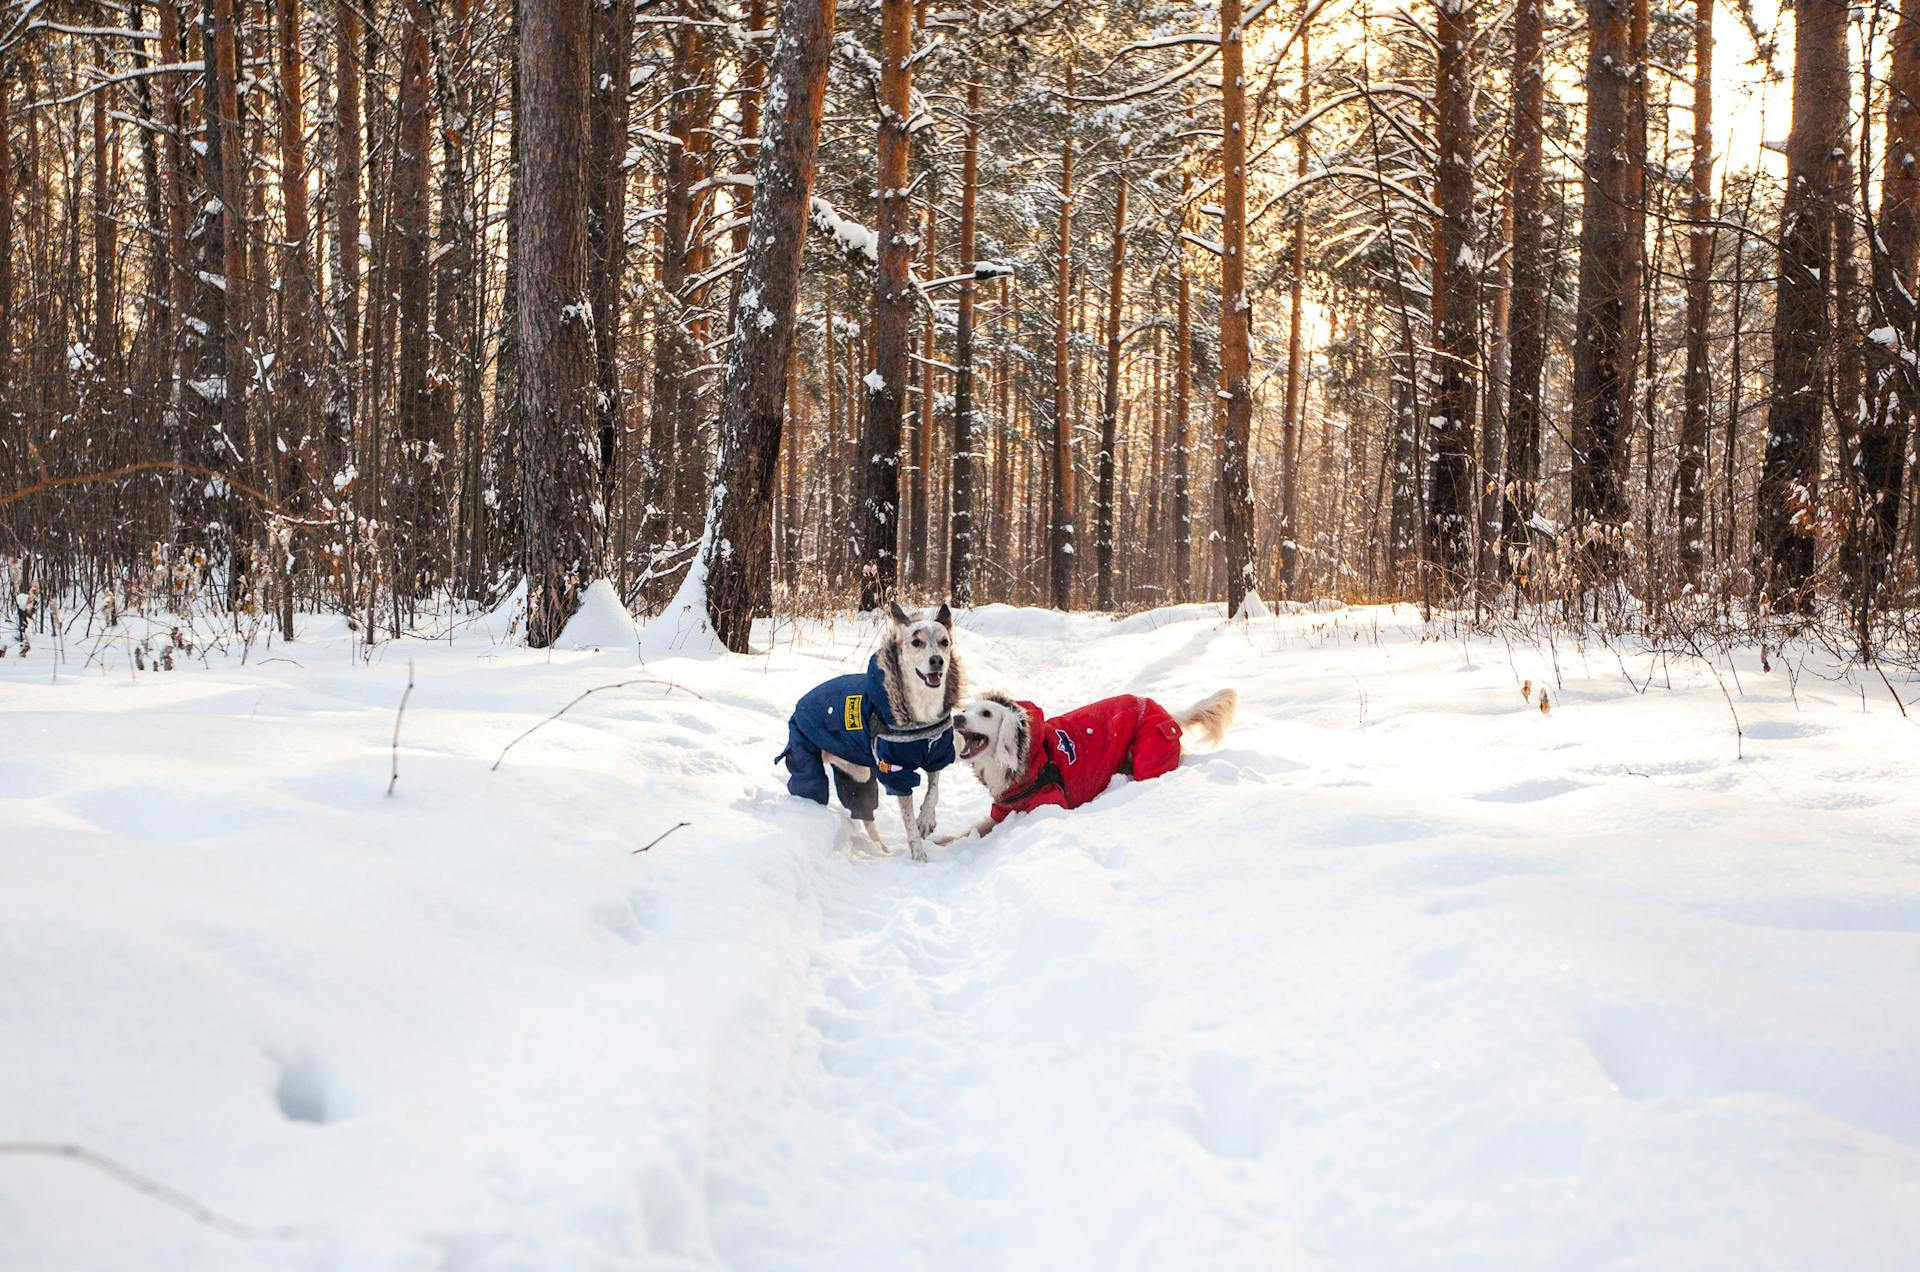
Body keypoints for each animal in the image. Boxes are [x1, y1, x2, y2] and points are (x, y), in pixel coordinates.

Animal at [775, 603, 960, 860]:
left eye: (945, 642)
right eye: (916, 642)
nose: (937, 661)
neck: (922, 713)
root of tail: (797, 708)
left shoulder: (937, 754)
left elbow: (933, 792)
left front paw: (926, 821)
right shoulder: (895, 770)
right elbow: (908, 821)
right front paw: (919, 855)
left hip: (858, 774)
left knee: (864, 812)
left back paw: (882, 850)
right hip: (805, 756)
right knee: (810, 786)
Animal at [936, 691, 1236, 841]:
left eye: (986, 713)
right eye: (967, 710)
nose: (957, 719)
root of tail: (1168, 714)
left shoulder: (1047, 804)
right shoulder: (1001, 810)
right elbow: (970, 830)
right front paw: (940, 841)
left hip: (1147, 756)